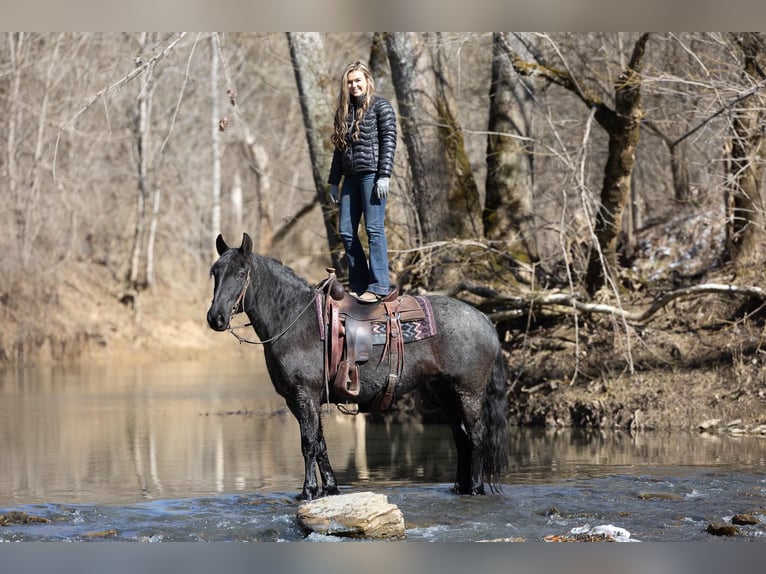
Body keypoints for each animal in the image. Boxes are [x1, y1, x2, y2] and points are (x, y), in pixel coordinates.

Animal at [210, 233, 510, 500]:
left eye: (240, 273)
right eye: (215, 273)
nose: (215, 318)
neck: (294, 319)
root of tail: (484, 319)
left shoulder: (305, 395)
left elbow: (308, 444)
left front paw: (307, 492)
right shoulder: (299, 400)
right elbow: (320, 443)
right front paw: (330, 488)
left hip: (469, 392)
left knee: (476, 436)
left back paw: (475, 488)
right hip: (444, 392)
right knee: (461, 437)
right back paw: (459, 487)